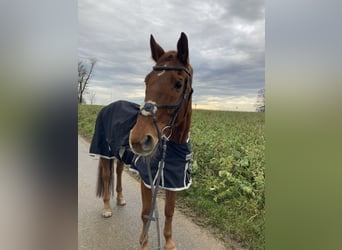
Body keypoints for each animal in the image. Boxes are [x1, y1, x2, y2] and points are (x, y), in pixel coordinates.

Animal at [89, 32, 192, 249]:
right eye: (146, 80)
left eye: (178, 83)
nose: (138, 139)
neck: (172, 146)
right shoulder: (147, 180)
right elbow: (146, 214)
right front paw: (143, 243)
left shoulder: (173, 181)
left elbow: (169, 212)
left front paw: (169, 243)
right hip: (104, 153)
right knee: (106, 177)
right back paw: (107, 208)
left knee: (118, 172)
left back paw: (120, 198)